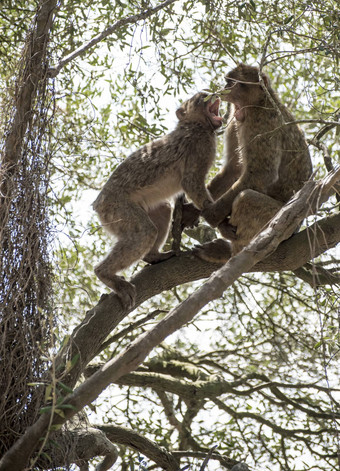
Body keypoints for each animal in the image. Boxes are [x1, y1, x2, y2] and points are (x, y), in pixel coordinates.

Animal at [92, 92, 223, 310]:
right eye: (201, 98)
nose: (212, 94)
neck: (196, 125)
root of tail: (98, 204)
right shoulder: (199, 145)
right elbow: (190, 182)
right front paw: (212, 212)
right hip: (115, 208)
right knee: (146, 231)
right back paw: (105, 274)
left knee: (162, 210)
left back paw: (153, 256)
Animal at [194, 62, 314, 262]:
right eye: (227, 82)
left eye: (233, 83)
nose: (223, 90)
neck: (259, 101)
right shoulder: (234, 119)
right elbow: (233, 169)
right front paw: (189, 212)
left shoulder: (262, 123)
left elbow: (260, 174)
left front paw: (212, 216)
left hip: (284, 224)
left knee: (247, 198)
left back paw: (233, 253)